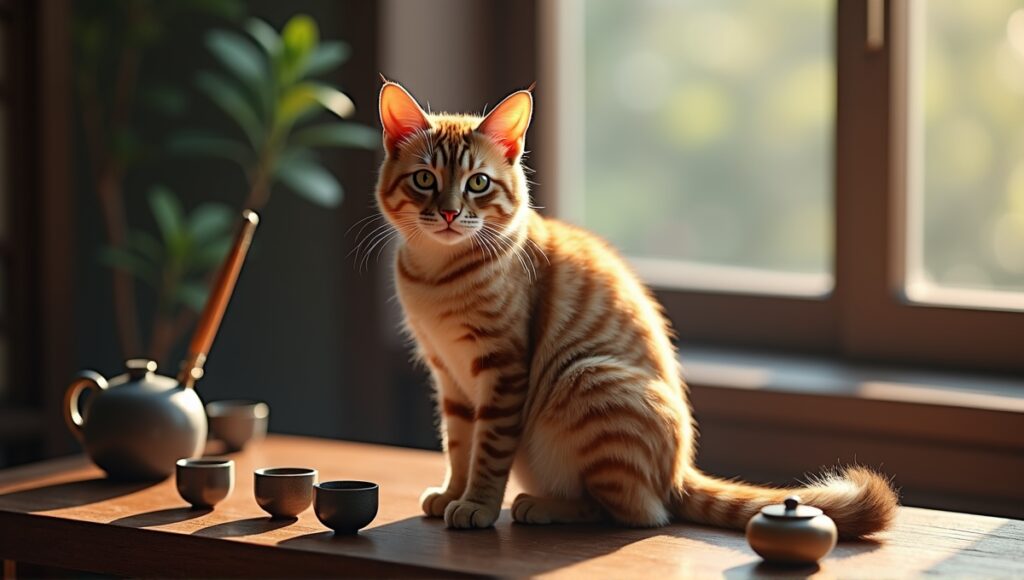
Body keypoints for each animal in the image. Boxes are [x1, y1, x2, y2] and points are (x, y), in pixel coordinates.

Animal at [374, 80, 897, 536]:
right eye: (425, 179)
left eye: (478, 183)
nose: (448, 212)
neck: (437, 275)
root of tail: (679, 474)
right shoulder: (448, 375)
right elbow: (458, 445)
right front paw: (452, 493)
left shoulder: (502, 372)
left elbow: (487, 451)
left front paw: (478, 505)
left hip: (585, 380)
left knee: (631, 513)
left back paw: (541, 506)